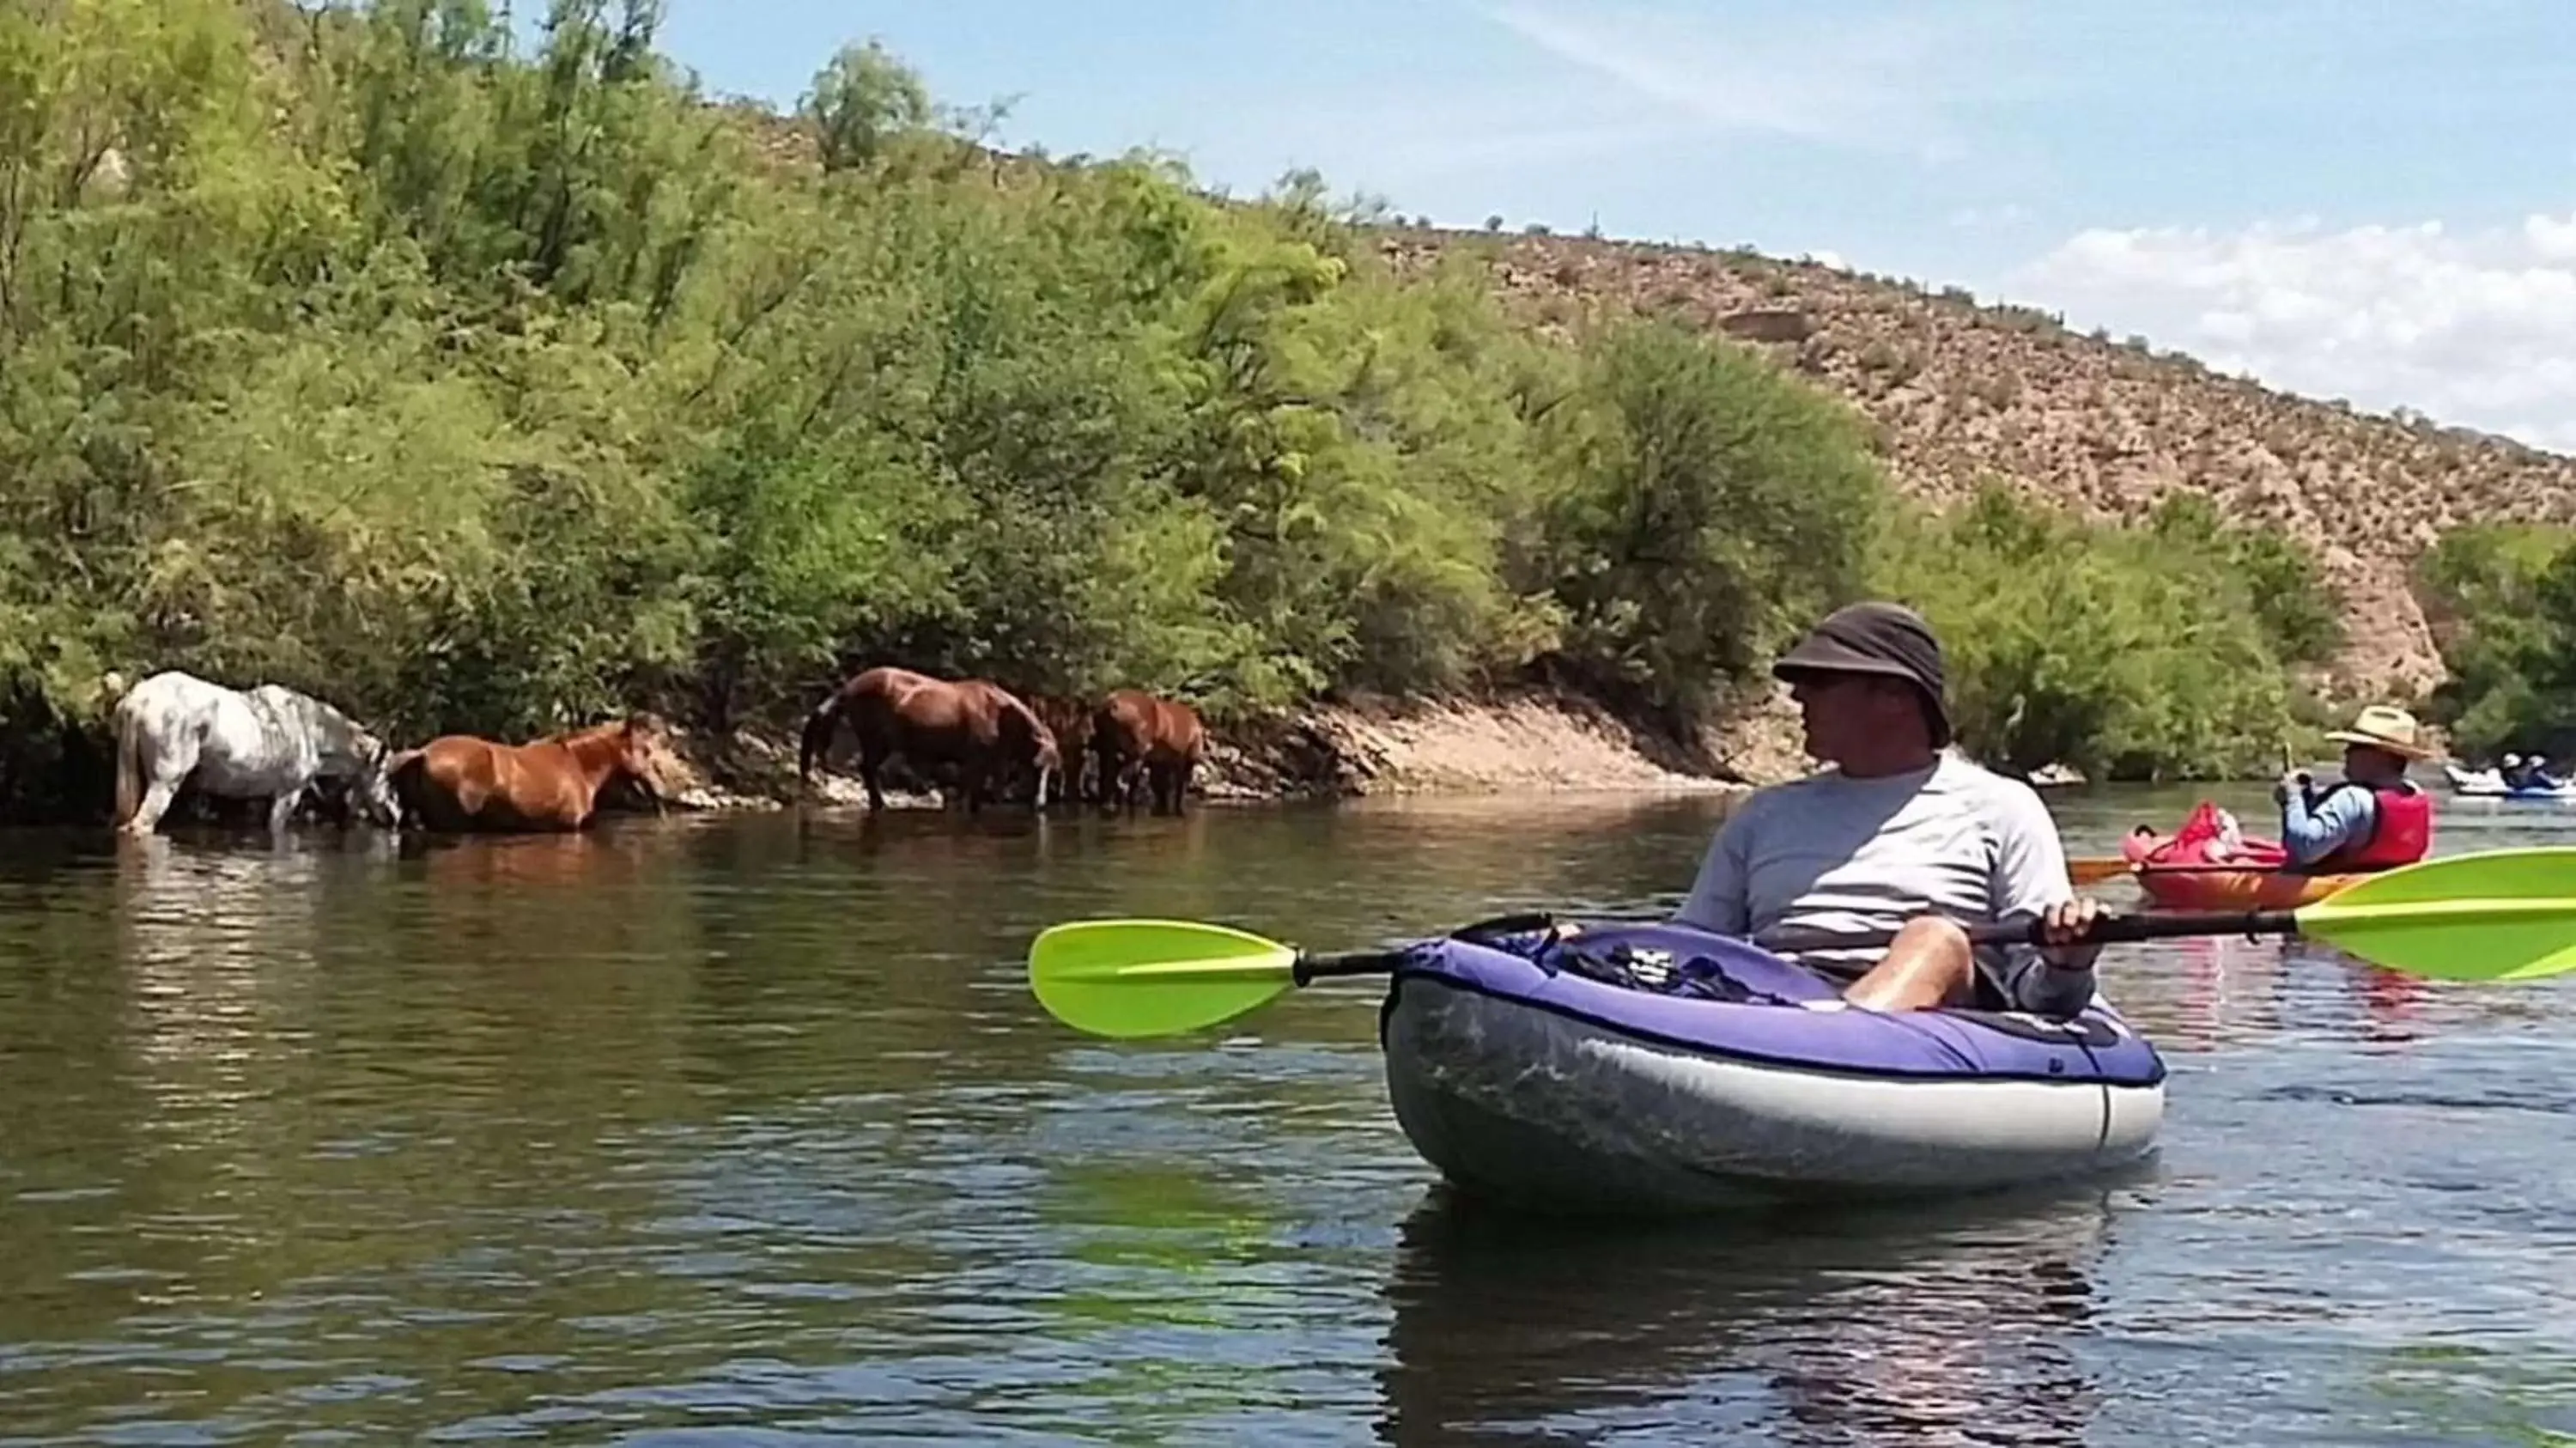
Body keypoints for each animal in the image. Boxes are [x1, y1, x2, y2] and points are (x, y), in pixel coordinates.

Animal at [111, 670, 402, 835]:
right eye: (386, 775)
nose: (396, 817)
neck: (313, 732)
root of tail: (139, 699)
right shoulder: (288, 794)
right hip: (164, 784)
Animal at [793, 665, 1056, 814]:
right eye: (1037, 766)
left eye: (1052, 769)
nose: (1040, 802)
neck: (997, 714)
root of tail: (848, 688)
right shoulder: (975, 764)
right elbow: (967, 799)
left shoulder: (991, 765)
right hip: (877, 741)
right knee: (867, 769)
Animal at [1087, 685, 1206, 814]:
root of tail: (1111, 702)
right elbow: (1172, 784)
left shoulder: (1161, 760)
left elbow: (1160, 784)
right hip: (1137, 748)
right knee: (1126, 777)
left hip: (1106, 746)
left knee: (1107, 773)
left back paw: (1108, 803)